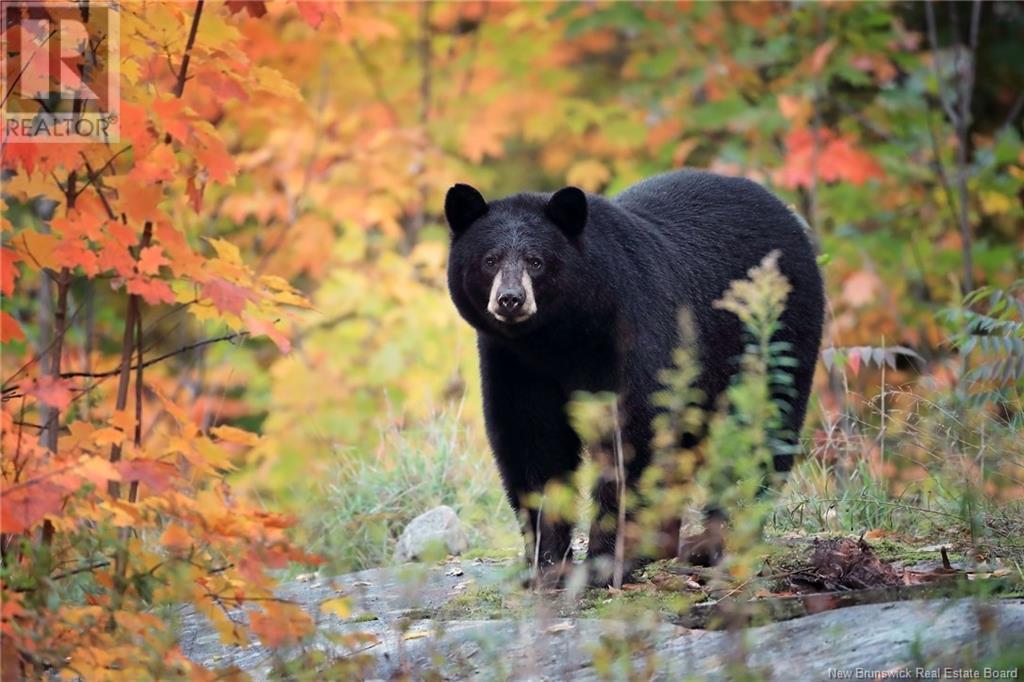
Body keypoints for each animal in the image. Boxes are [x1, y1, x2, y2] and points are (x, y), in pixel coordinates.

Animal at [442, 168, 823, 577]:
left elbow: (635, 434)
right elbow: (531, 440)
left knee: (761, 427)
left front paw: (607, 559)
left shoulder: (633, 331)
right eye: (490, 259)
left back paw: (720, 541)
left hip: (774, 335)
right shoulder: (513, 362)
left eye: (535, 260)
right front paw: (548, 562)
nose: (510, 299)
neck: (560, 336)